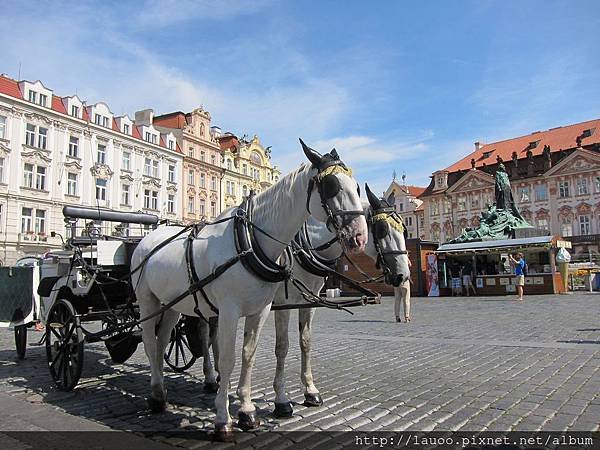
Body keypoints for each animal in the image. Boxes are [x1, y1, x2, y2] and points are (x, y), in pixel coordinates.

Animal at [132, 141, 366, 440]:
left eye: (357, 188)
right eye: (331, 186)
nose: (359, 236)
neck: (251, 241)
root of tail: (146, 239)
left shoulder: (264, 309)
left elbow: (252, 354)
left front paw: (247, 410)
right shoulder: (235, 310)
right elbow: (231, 359)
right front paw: (224, 419)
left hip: (173, 304)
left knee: (163, 341)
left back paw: (162, 391)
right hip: (148, 303)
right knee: (152, 343)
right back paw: (157, 395)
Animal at [270, 185, 408, 416]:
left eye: (404, 230)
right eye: (382, 230)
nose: (403, 276)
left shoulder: (309, 302)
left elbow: (305, 342)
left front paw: (310, 391)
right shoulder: (282, 304)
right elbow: (282, 347)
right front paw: (281, 399)